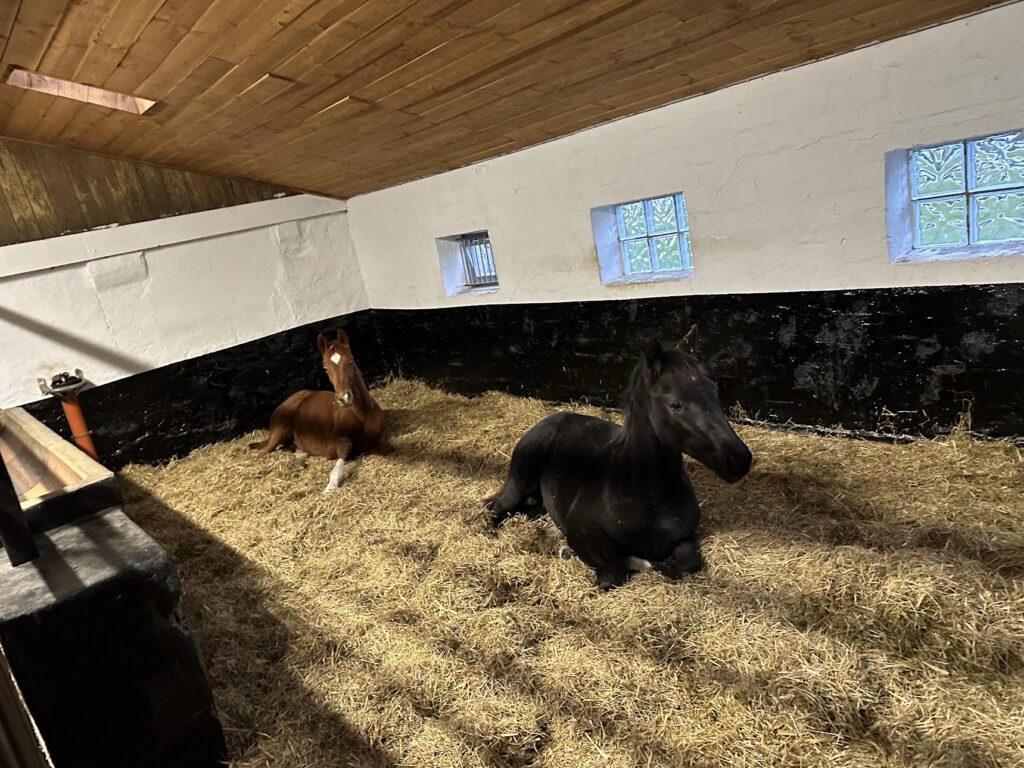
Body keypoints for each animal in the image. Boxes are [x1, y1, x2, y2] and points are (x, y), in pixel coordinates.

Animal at [249, 329, 391, 490]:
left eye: (351, 361)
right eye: (325, 368)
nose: (343, 398)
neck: (362, 415)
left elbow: (388, 448)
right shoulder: (333, 444)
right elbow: (343, 453)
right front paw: (331, 486)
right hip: (280, 431)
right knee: (263, 452)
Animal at [486, 326, 752, 590]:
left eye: (714, 391)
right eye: (675, 404)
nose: (739, 459)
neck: (649, 496)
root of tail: (552, 418)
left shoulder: (686, 536)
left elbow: (688, 565)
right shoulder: (582, 530)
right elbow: (613, 574)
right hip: (519, 482)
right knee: (498, 509)